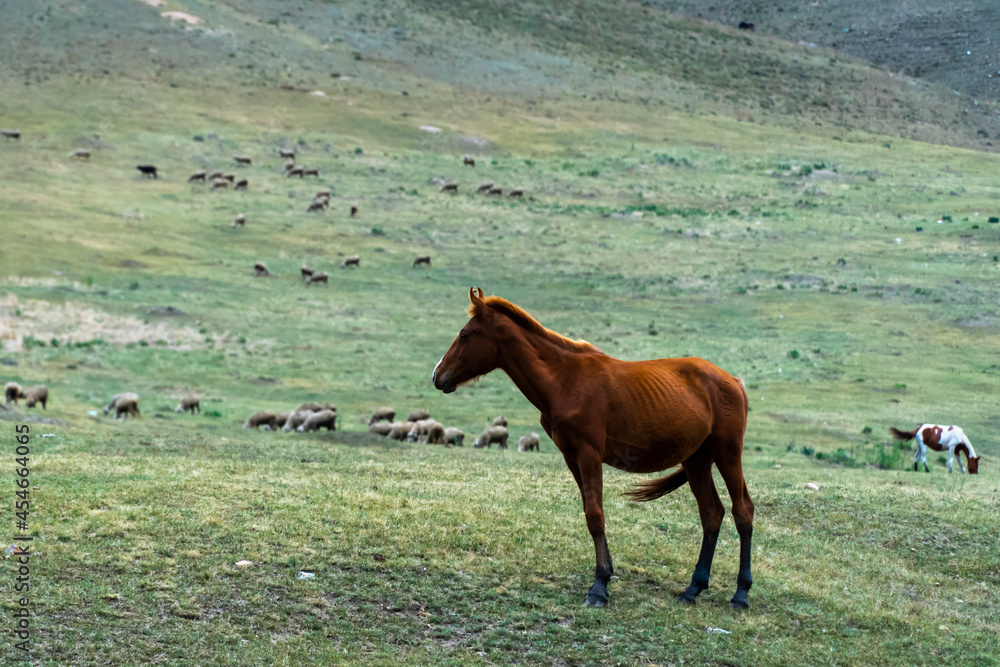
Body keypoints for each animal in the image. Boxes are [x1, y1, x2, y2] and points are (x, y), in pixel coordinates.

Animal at [433, 288, 754, 609]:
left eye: (464, 335)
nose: (437, 375)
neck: (564, 380)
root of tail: (733, 382)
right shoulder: (571, 457)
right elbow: (590, 512)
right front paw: (607, 574)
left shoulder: (589, 455)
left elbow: (596, 516)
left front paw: (598, 587)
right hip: (696, 459)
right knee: (711, 513)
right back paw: (693, 588)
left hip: (727, 453)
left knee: (743, 511)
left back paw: (741, 593)